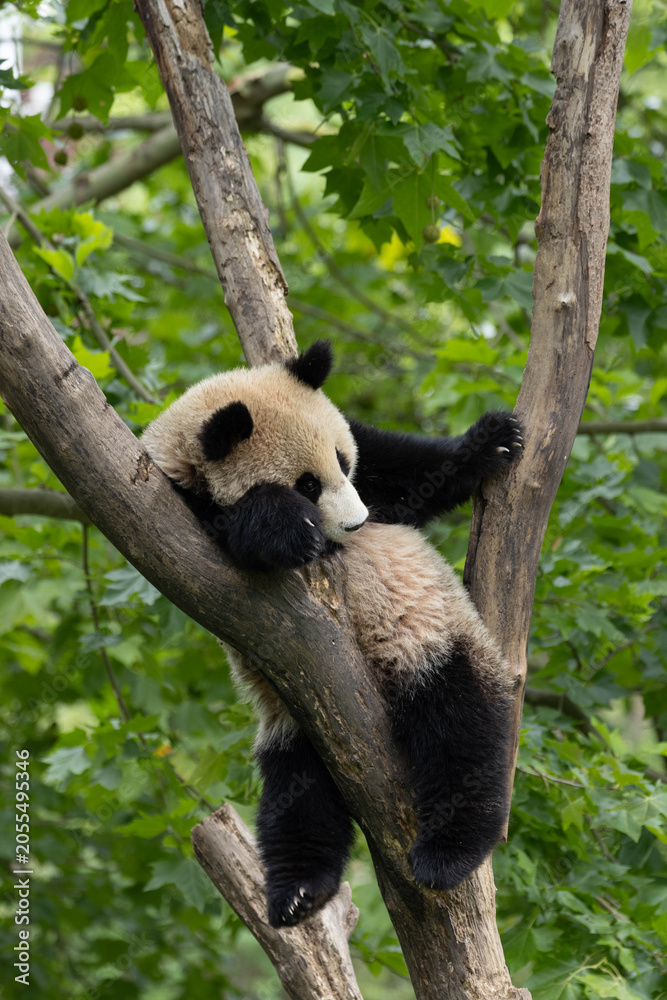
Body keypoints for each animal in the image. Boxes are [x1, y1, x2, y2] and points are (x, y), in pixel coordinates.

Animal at [141, 340, 523, 928]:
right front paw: (288, 526)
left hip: (431, 635)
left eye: (342, 463)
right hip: (297, 713)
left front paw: (496, 439)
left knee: (458, 720)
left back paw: (444, 852)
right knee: (299, 789)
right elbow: (233, 535)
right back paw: (301, 890)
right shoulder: (176, 514)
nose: (358, 523)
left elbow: (407, 474)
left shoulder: (373, 465)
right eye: (306, 483)